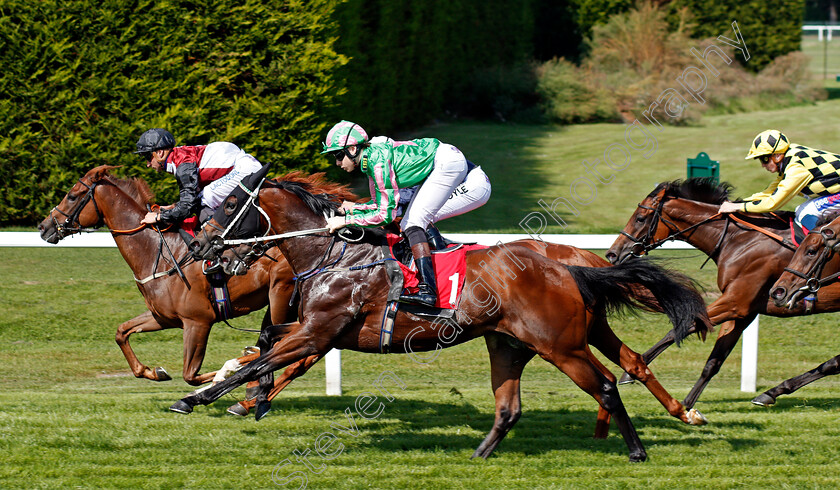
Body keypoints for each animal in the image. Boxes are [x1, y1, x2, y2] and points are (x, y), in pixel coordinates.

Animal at [180, 178, 712, 462]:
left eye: (230, 205)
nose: (201, 246)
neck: (334, 255)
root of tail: (570, 266)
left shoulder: (319, 332)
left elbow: (263, 358)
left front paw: (198, 398)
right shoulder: (317, 330)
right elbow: (266, 344)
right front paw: (242, 391)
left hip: (561, 345)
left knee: (605, 384)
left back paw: (637, 448)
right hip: (514, 344)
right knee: (519, 404)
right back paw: (479, 455)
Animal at [608, 178, 840, 408]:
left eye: (640, 218)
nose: (612, 254)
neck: (738, 239)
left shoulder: (735, 302)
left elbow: (681, 327)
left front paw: (632, 370)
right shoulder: (743, 311)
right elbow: (714, 360)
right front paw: (687, 405)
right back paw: (771, 393)